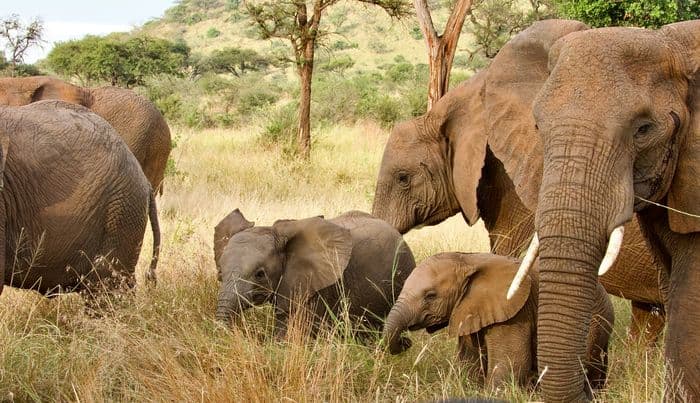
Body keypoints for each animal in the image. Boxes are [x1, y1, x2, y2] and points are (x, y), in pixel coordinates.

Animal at [383, 252, 613, 390]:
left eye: (430, 296)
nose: (406, 341)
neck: (468, 259)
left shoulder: (515, 312)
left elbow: (510, 363)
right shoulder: (470, 309)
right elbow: (469, 362)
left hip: (595, 321)